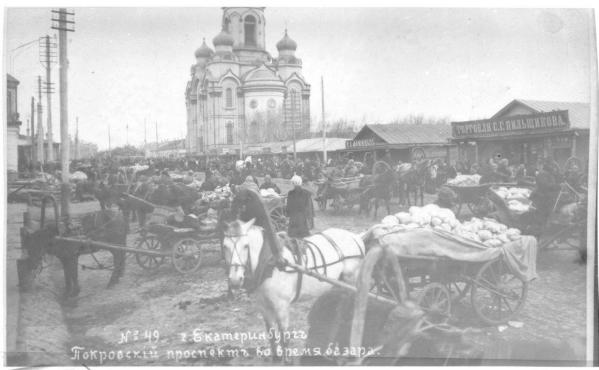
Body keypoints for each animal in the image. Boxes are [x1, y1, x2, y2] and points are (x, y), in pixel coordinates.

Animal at [223, 218, 366, 362]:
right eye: (224, 246)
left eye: (246, 246)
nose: (235, 280)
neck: (271, 263)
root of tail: (355, 236)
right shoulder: (263, 306)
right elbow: (271, 334)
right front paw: (276, 358)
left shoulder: (281, 306)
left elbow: (284, 337)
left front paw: (287, 361)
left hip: (351, 280)